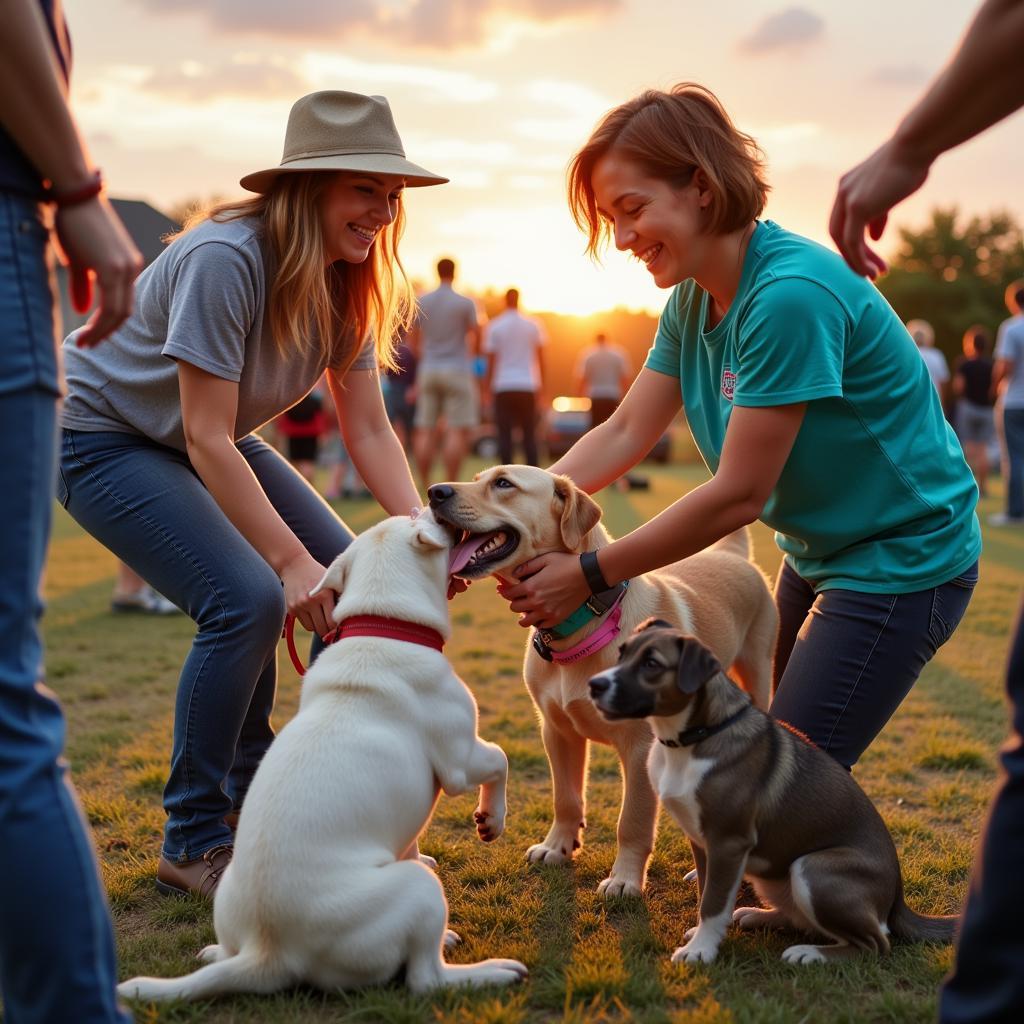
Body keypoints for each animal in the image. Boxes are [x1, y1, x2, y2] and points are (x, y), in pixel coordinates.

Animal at [119, 512, 528, 999]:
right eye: (417, 517)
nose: (432, 501)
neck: (382, 623)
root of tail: (270, 953)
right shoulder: (461, 761)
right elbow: (500, 759)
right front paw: (492, 820)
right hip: (420, 893)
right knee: (425, 978)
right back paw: (490, 970)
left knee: (229, 953)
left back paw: (216, 954)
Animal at [425, 464, 774, 897]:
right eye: (477, 478)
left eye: (503, 483)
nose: (434, 492)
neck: (584, 627)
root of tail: (730, 553)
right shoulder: (557, 731)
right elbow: (567, 799)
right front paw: (557, 847)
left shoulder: (641, 748)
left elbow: (633, 821)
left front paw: (625, 879)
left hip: (757, 672)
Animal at [589, 618, 954, 962]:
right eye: (621, 653)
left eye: (652, 664)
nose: (594, 685)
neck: (695, 739)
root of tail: (898, 899)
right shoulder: (703, 843)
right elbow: (707, 894)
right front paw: (704, 937)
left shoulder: (728, 843)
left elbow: (713, 903)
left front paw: (701, 950)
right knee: (801, 919)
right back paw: (755, 915)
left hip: (814, 868)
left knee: (874, 943)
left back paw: (810, 954)